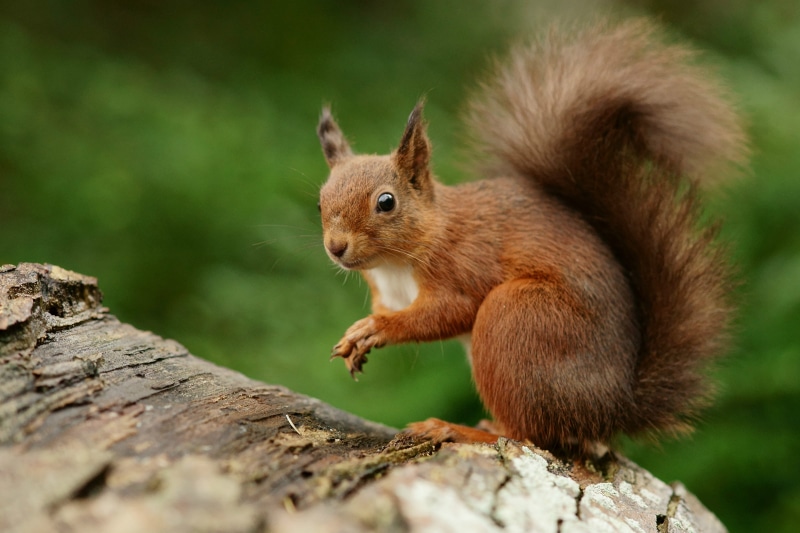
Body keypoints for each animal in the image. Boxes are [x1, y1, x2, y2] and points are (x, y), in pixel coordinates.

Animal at [314, 19, 747, 456]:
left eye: (386, 202)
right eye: (320, 202)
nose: (336, 248)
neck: (394, 264)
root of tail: (614, 407)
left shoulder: (464, 264)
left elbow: (448, 312)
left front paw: (377, 328)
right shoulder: (387, 292)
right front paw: (355, 337)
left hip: (516, 318)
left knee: (526, 432)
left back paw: (458, 429)